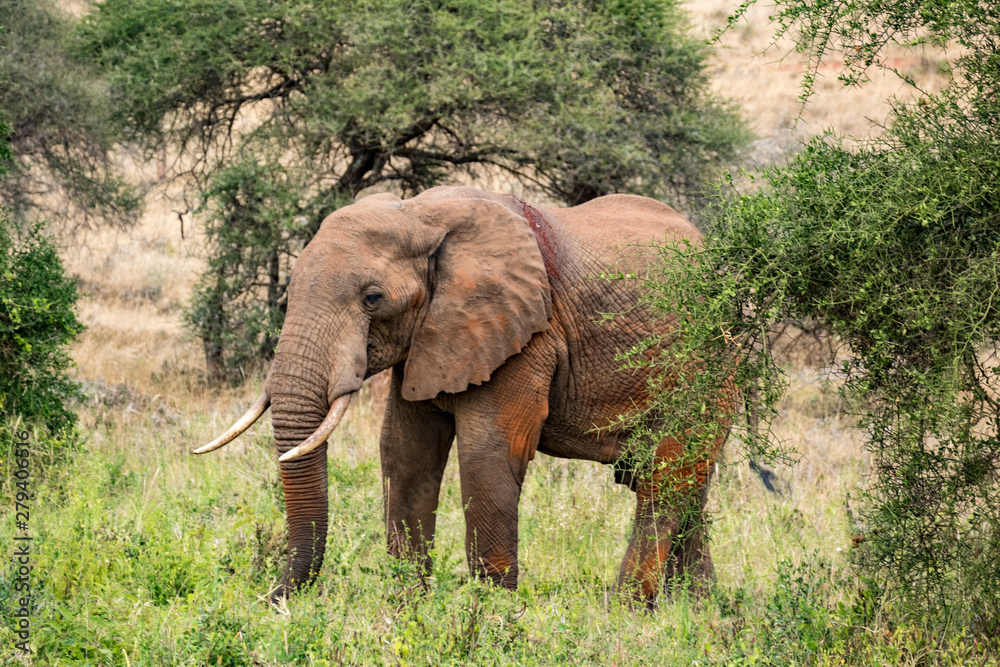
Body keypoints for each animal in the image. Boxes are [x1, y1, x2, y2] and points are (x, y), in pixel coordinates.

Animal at [196, 186, 736, 607]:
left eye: (373, 299)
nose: (272, 600)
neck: (420, 214)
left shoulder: (525, 336)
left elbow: (487, 456)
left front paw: (490, 617)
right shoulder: (429, 341)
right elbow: (405, 454)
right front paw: (407, 608)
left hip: (707, 366)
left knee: (668, 475)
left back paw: (624, 611)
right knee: (679, 481)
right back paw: (693, 612)